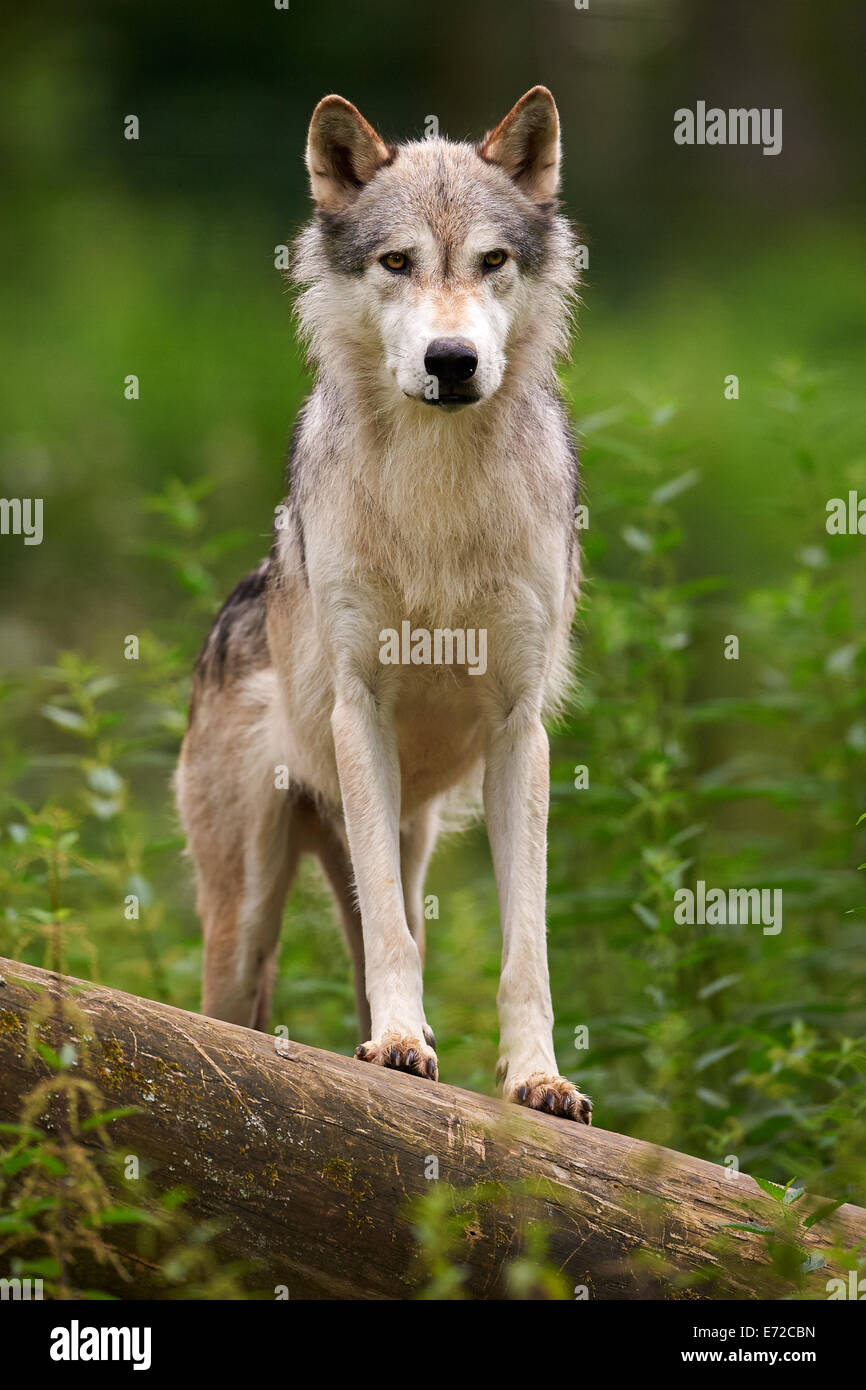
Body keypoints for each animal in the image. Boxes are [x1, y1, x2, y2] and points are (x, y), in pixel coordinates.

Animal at [177, 86, 594, 1123]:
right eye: (397, 261)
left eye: (492, 261)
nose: (452, 360)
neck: (439, 497)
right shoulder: (359, 711)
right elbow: (398, 950)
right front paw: (403, 1046)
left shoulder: (520, 734)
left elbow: (525, 951)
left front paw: (539, 1080)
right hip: (245, 916)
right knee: (235, 1003)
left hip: (414, 841)